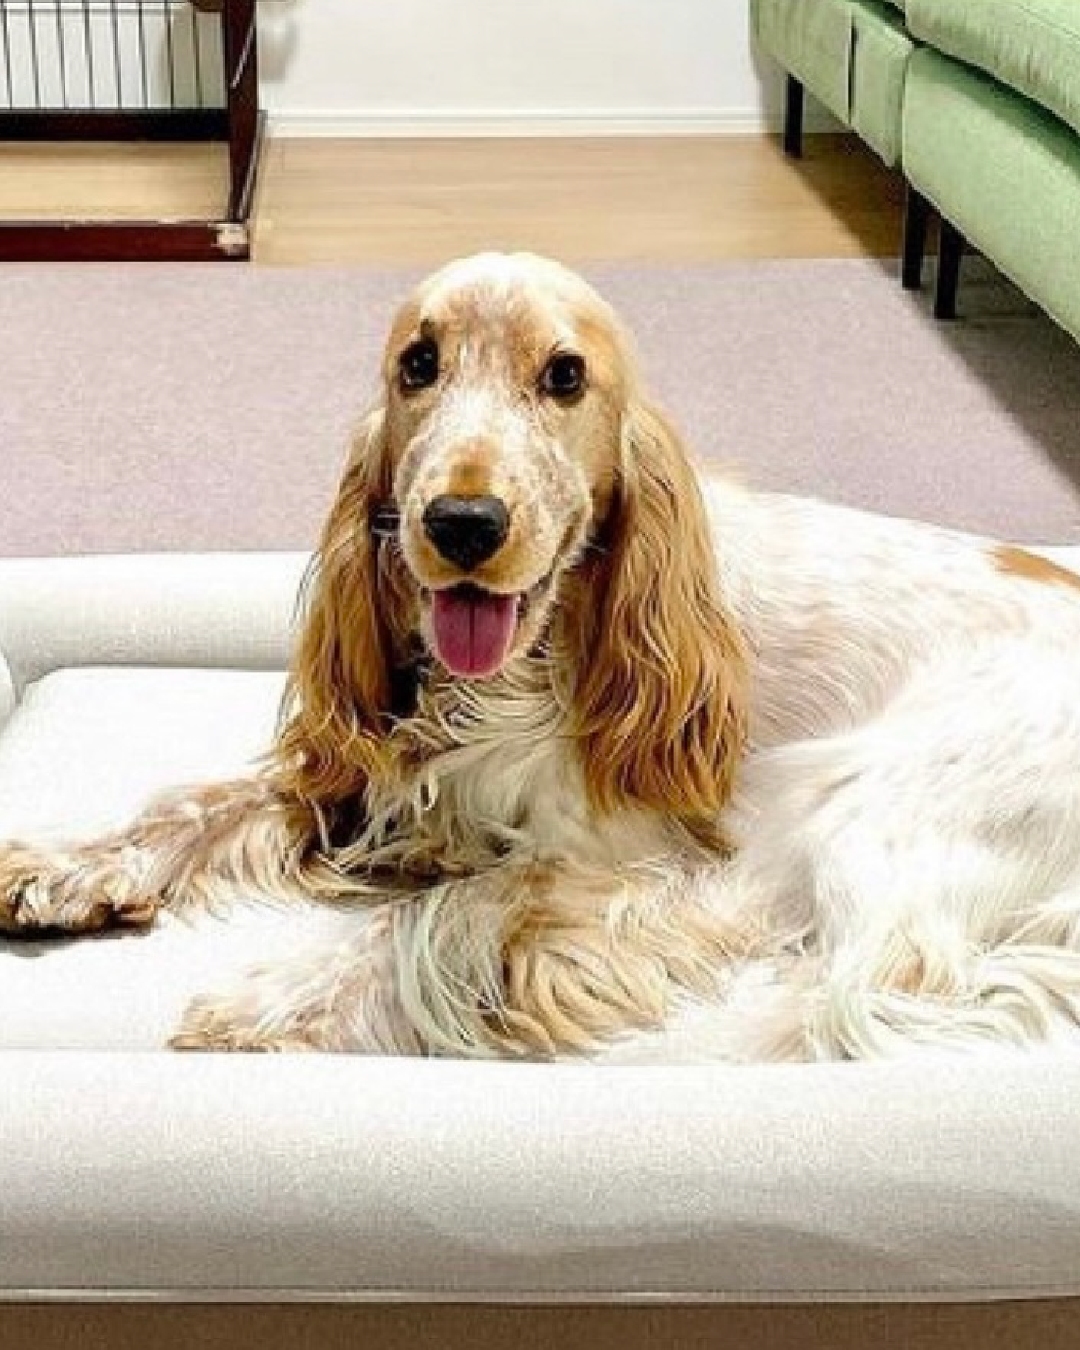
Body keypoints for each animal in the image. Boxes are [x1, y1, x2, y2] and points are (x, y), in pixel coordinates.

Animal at [2, 248, 1080, 1058]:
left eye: (564, 376)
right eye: (419, 364)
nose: (463, 522)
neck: (525, 663)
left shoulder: (622, 858)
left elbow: (450, 909)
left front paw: (272, 1002)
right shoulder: (374, 767)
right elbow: (202, 799)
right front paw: (65, 865)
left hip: (847, 817)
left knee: (853, 998)